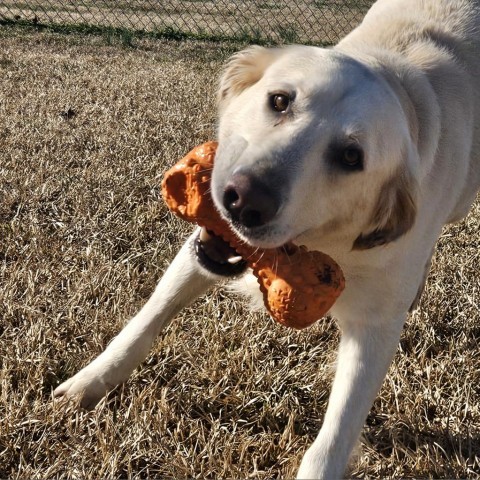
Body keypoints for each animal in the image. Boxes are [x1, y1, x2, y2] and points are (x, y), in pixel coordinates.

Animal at [54, 0, 480, 476]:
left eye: (352, 157)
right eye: (280, 101)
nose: (244, 201)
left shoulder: (375, 326)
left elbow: (334, 437)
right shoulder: (203, 245)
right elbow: (146, 320)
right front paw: (89, 383)